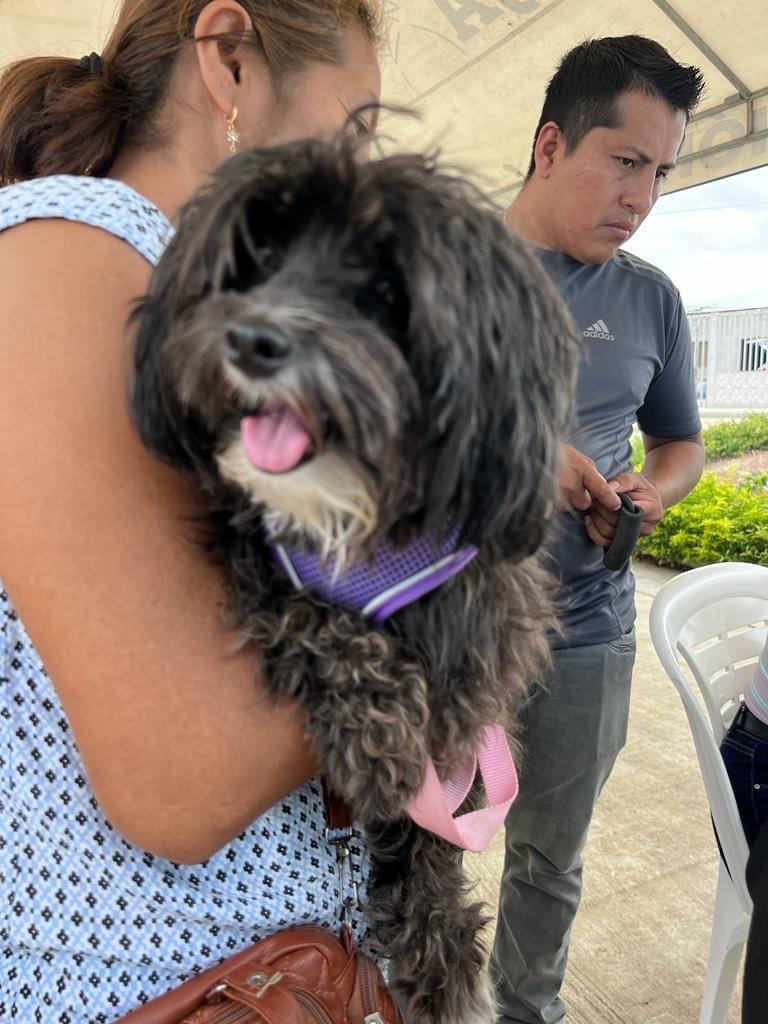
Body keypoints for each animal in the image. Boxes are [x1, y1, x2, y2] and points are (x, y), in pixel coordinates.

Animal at [131, 135, 579, 1024]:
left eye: (384, 289)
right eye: (260, 256)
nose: (254, 341)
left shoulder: (488, 613)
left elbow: (446, 784)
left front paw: (441, 952)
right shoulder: (259, 549)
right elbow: (306, 612)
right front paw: (373, 721)